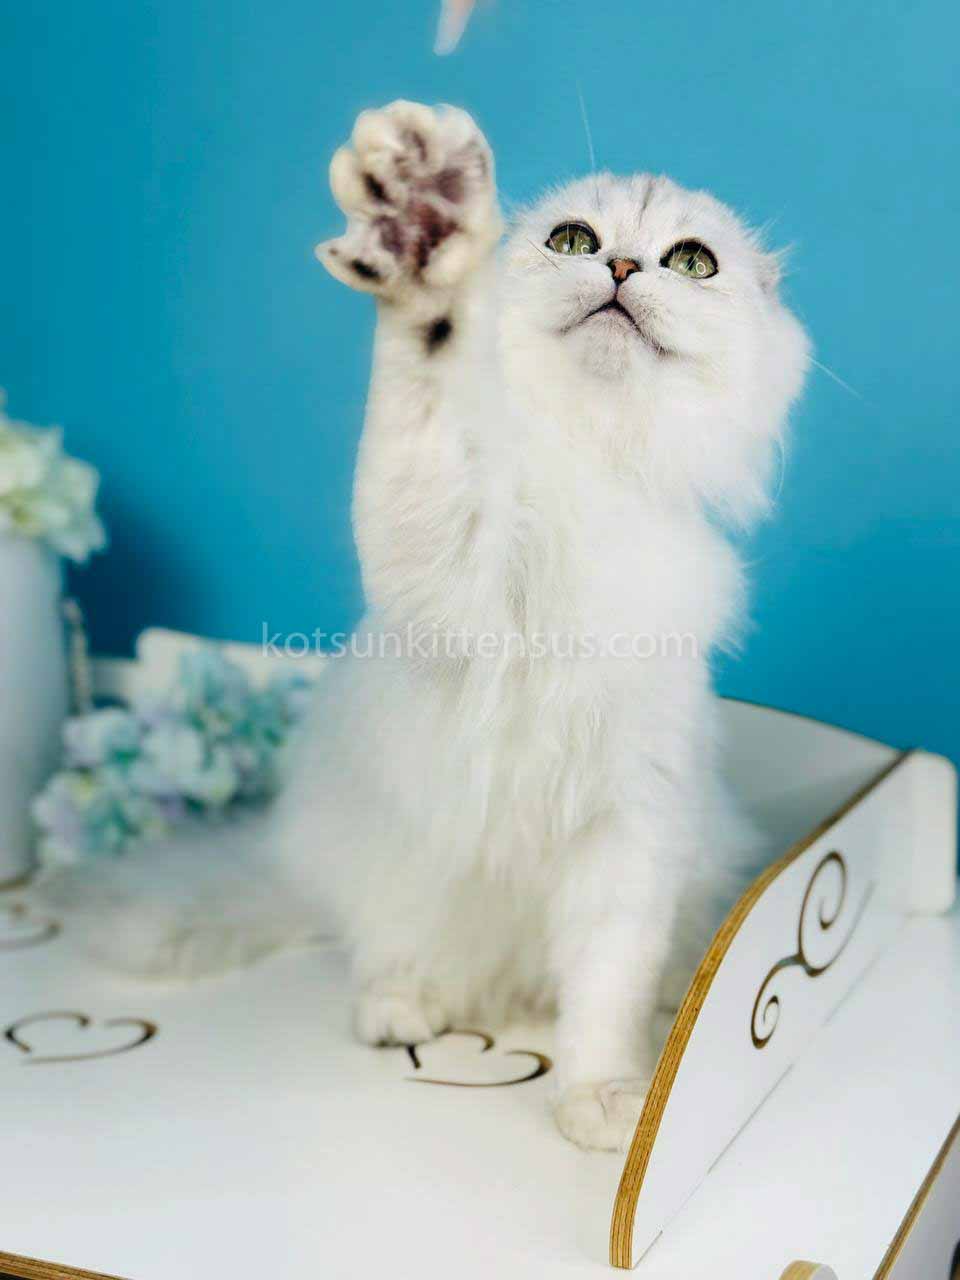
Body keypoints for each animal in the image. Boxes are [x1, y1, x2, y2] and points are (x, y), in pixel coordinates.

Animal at [50, 101, 809, 1151]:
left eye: (692, 262)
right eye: (574, 241)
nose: (621, 269)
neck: (595, 474)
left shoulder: (633, 827)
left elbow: (606, 987)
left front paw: (604, 1096)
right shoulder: (447, 589)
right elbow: (427, 387)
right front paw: (425, 237)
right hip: (390, 864)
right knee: (391, 952)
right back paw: (400, 1007)